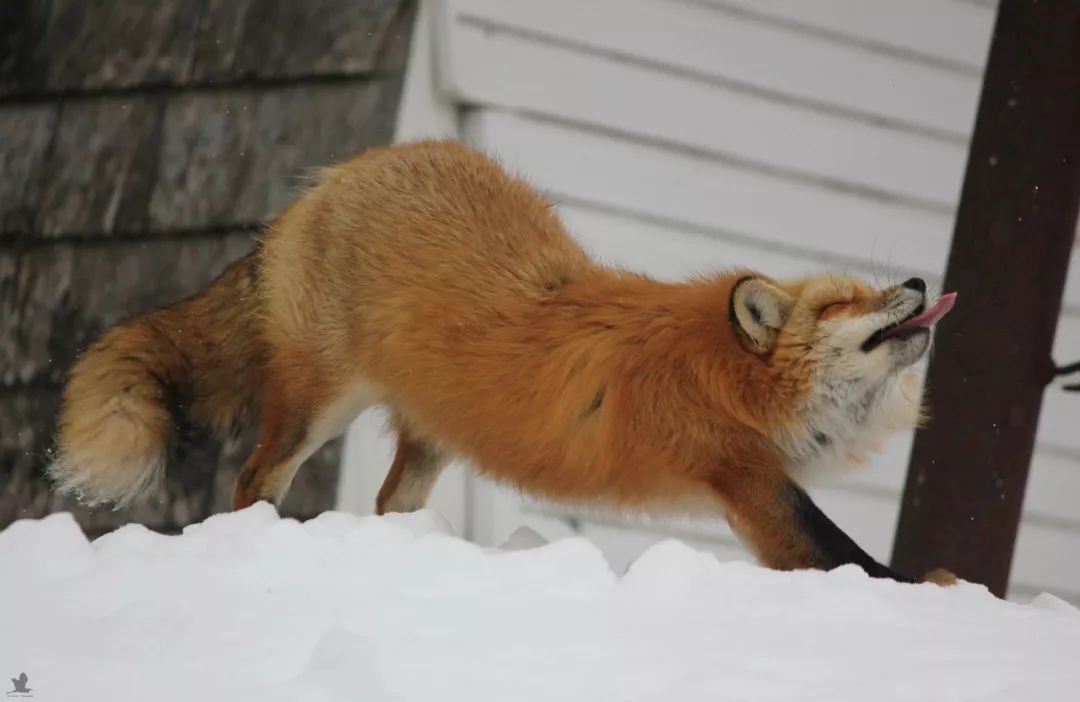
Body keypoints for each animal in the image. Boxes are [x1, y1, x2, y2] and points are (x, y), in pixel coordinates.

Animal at [52, 139, 963, 583]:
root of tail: (340, 175)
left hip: (435, 434)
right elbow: (851, 560)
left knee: (387, 503)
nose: (922, 283)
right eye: (846, 302)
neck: (729, 376)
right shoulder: (743, 476)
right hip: (318, 405)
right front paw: (936, 594)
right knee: (253, 480)